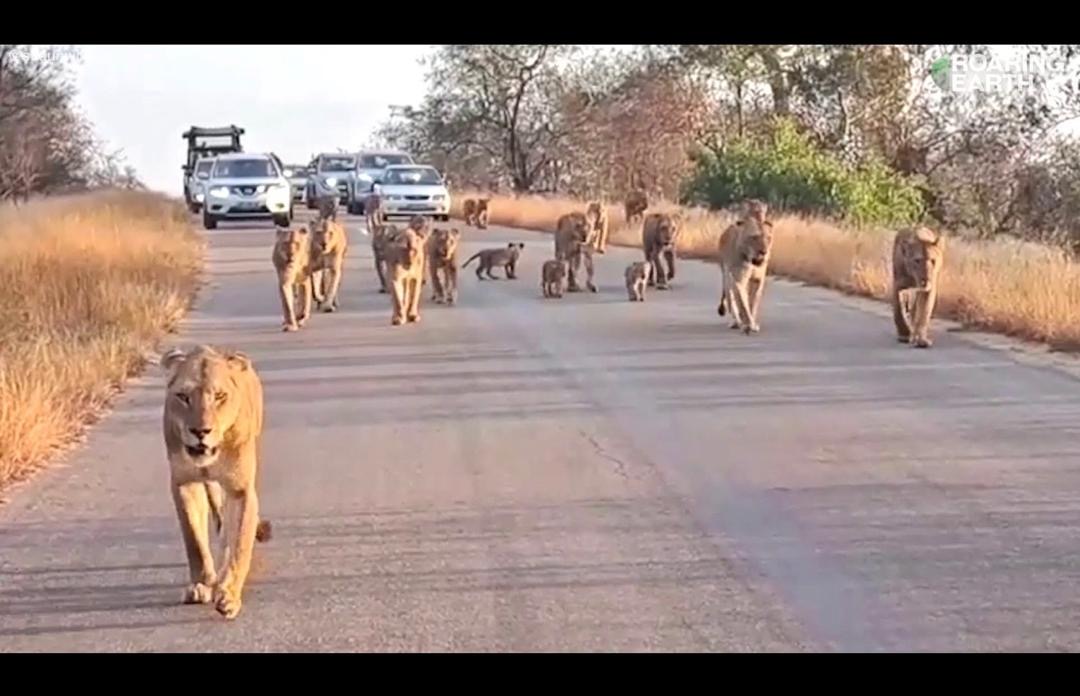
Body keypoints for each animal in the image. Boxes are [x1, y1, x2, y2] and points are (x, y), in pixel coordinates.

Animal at [161, 344, 273, 620]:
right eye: (183, 396)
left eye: (220, 396)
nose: (200, 431)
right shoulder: (185, 483)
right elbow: (194, 539)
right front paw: (201, 584)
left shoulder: (240, 489)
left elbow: (239, 544)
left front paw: (229, 595)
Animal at [717, 202, 774, 334]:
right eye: (754, 237)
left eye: (768, 238)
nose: (764, 252)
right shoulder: (738, 279)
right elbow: (742, 303)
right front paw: (748, 324)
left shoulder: (758, 280)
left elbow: (752, 302)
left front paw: (751, 322)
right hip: (727, 276)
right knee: (731, 298)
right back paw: (736, 322)